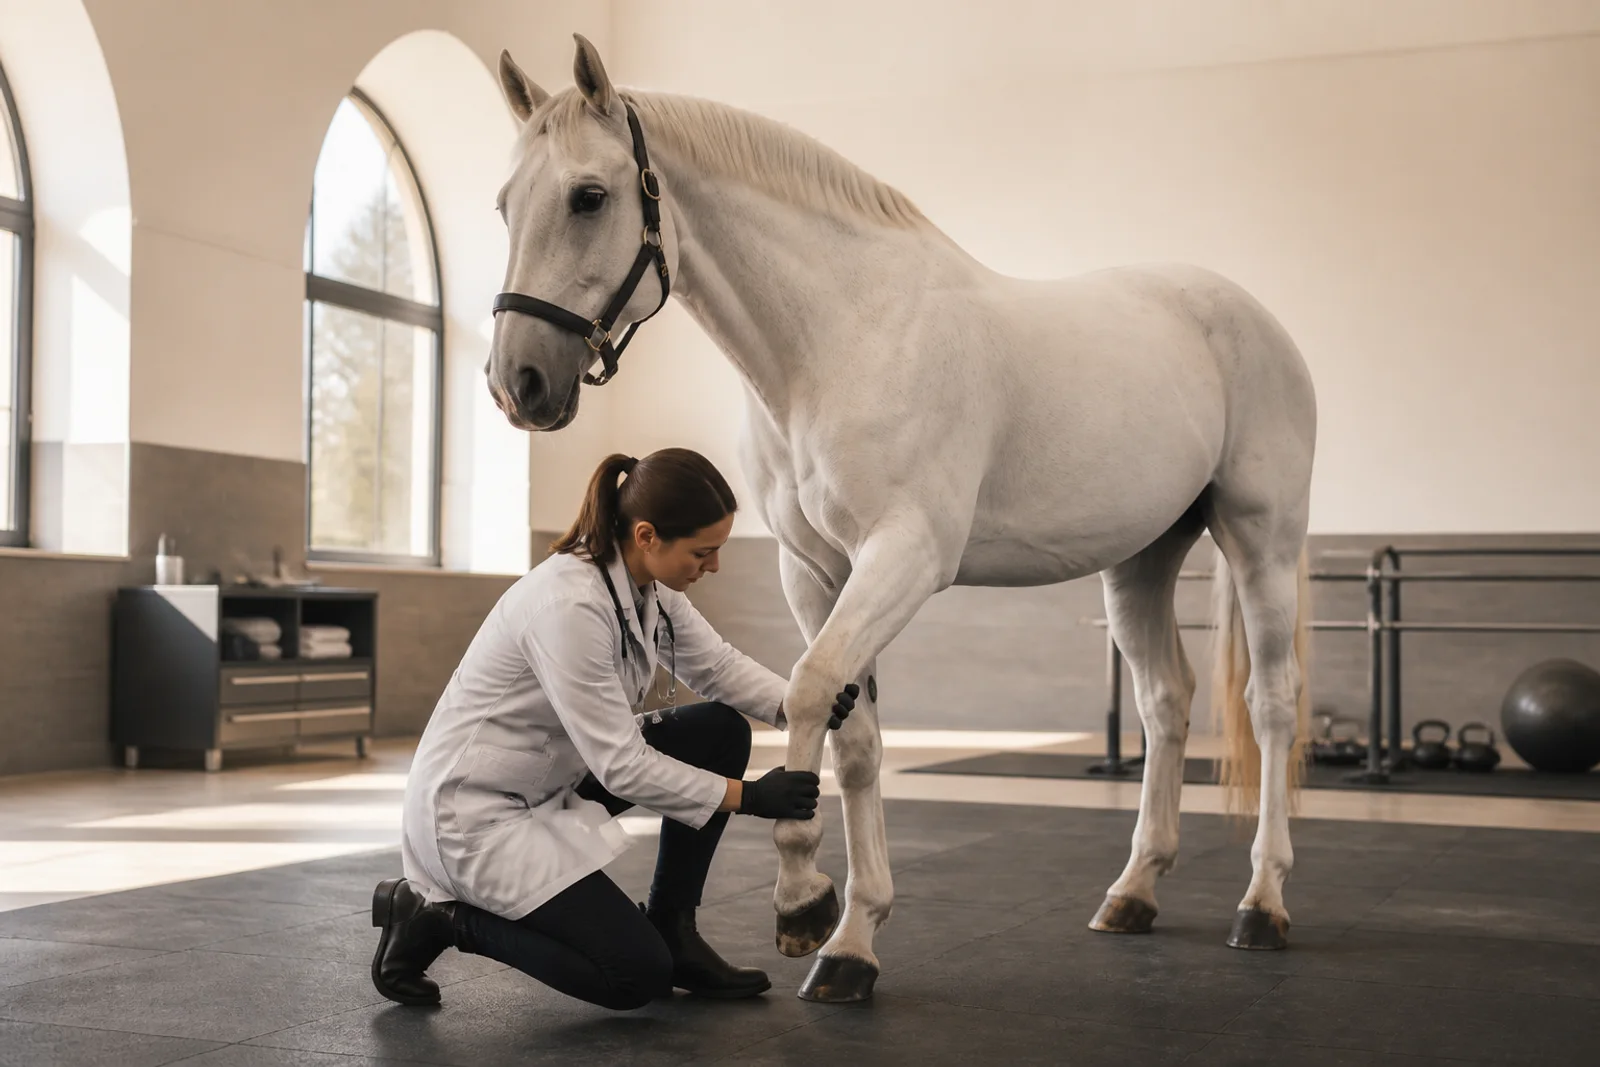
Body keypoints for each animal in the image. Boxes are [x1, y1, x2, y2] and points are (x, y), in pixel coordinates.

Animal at [485, 35, 1316, 1004]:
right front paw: (851, 935)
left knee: (1272, 704)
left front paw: (804, 900)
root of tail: (1250, 317)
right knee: (1166, 700)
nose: (519, 382)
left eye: (589, 196)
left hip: (1261, 539)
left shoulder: (907, 556)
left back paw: (1264, 903)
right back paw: (1134, 891)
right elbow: (857, 736)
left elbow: (813, 687)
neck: (841, 339)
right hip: (1141, 558)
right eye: (505, 205)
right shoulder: (814, 569)